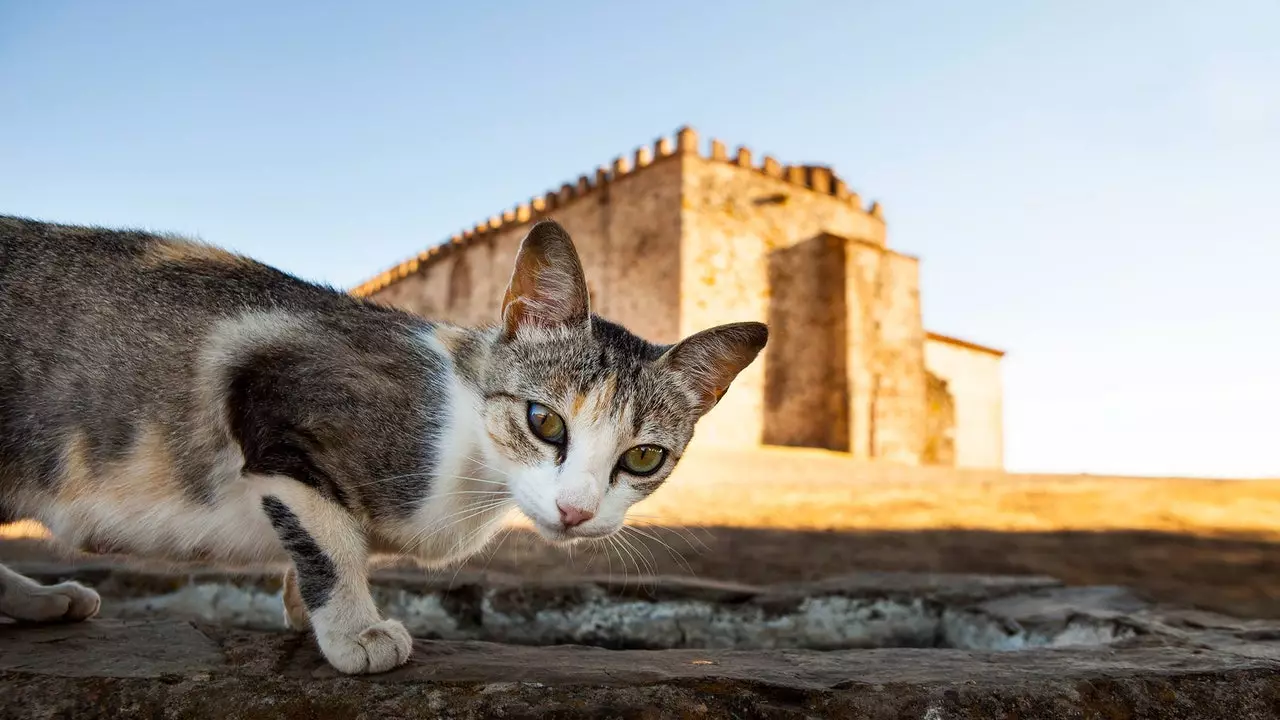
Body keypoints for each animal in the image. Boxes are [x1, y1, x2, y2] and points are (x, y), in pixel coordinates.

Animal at [0, 213, 768, 671]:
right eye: (544, 421)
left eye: (643, 457)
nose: (576, 511)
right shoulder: (276, 398)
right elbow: (331, 538)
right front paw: (354, 631)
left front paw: (300, 607)